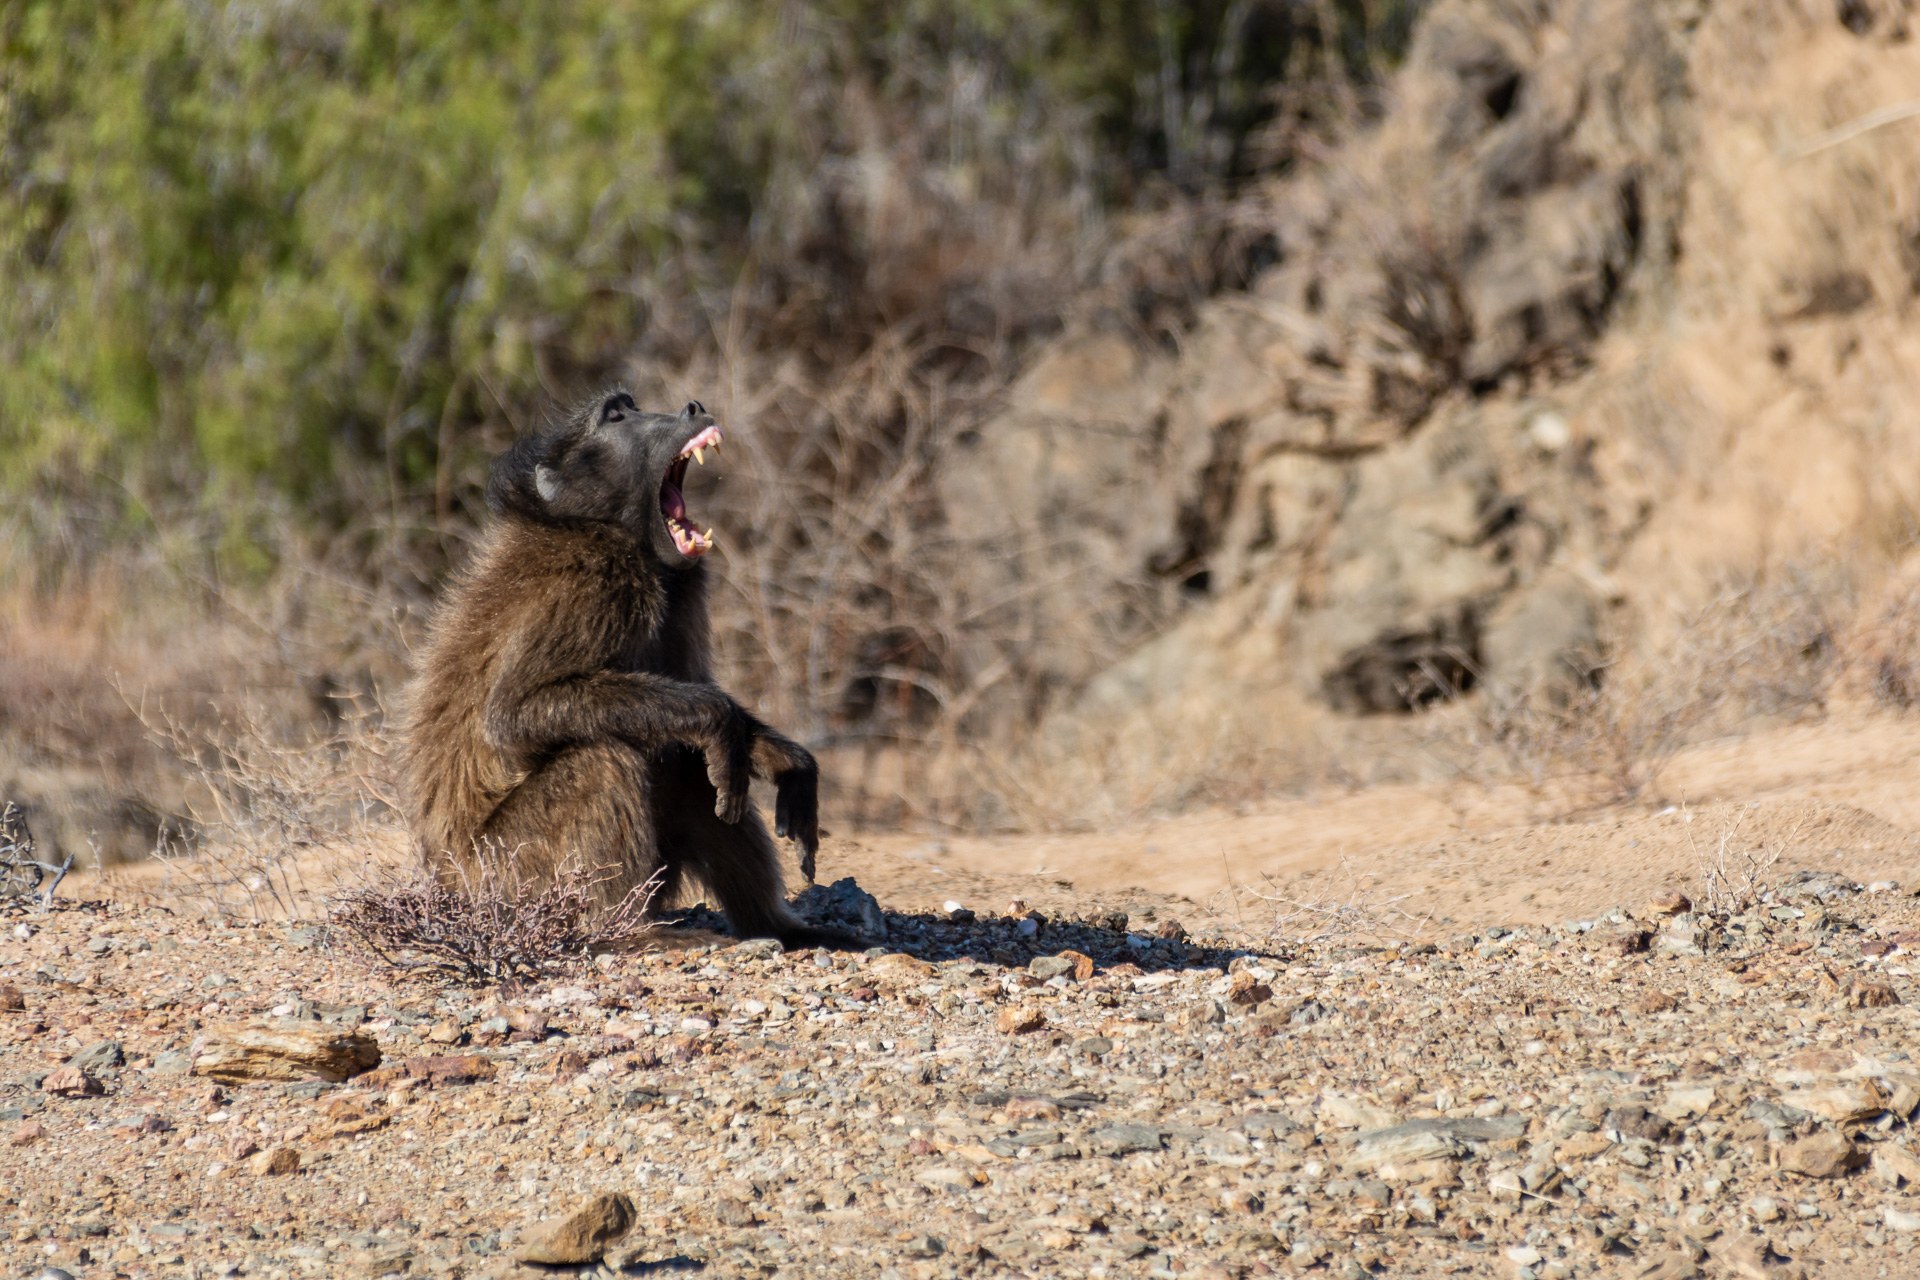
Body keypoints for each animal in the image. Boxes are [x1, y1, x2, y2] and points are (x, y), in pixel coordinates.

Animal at [396, 389, 864, 950]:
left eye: (630, 405)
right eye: (617, 416)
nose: (692, 407)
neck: (591, 522)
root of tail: (444, 887)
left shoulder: (682, 586)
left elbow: (696, 697)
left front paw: (787, 761)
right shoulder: (601, 572)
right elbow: (512, 712)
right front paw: (718, 719)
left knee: (688, 763)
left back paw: (777, 929)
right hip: (508, 878)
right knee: (607, 759)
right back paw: (630, 934)